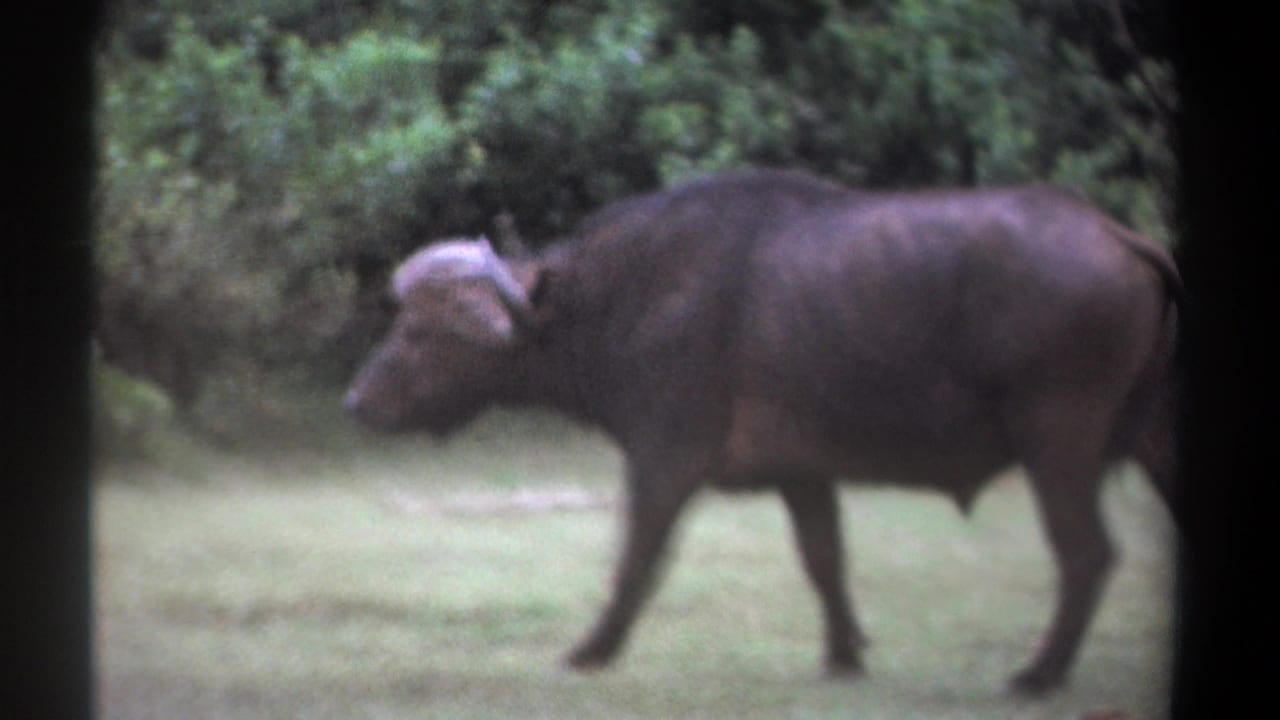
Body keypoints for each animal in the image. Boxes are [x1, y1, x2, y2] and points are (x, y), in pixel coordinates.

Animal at [344, 168, 1180, 694]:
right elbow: (825, 560)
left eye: (421, 331)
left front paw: (590, 650)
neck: (621, 296)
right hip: (1155, 444)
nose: (356, 402)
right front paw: (845, 655)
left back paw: (1037, 675)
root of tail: (1119, 236)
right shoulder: (802, 473)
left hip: (1057, 440)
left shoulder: (664, 459)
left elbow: (636, 561)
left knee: (1086, 554)